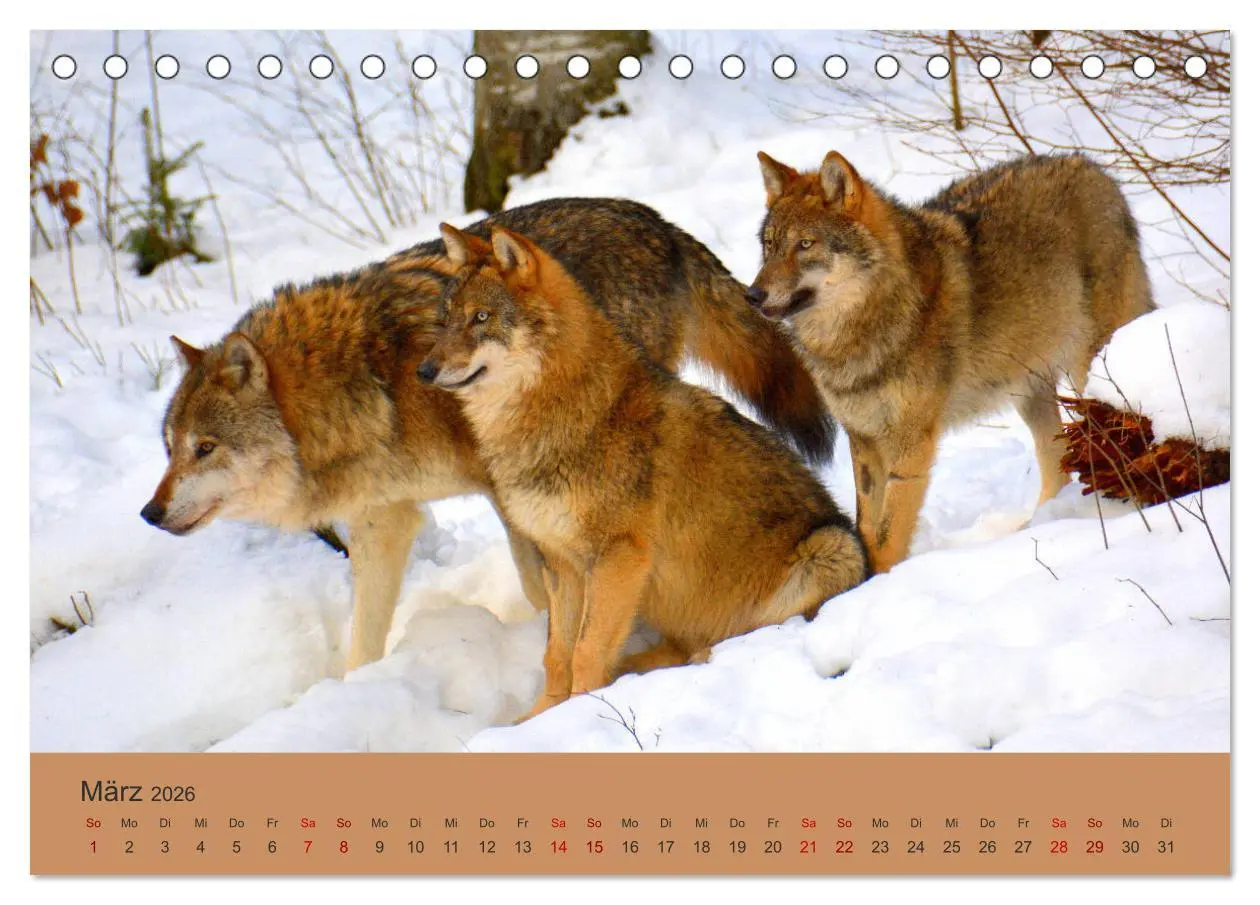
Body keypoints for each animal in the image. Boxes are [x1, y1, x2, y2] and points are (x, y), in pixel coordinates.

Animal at [141, 198, 834, 673]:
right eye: (170, 447)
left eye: (205, 447)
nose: (149, 512)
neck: (369, 383)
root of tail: (654, 220)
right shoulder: (382, 521)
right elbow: (363, 639)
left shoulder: (503, 490)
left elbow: (539, 584)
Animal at [419, 225, 868, 720]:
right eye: (445, 319)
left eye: (481, 317)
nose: (424, 369)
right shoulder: (561, 564)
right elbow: (556, 654)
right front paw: (539, 718)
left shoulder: (619, 557)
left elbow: (585, 653)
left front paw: (579, 715)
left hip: (832, 547)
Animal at [748, 151, 1154, 573]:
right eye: (769, 246)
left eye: (805, 244)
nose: (752, 295)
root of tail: (1095, 169)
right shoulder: (864, 442)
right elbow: (867, 530)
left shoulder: (911, 447)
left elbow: (888, 538)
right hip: (1030, 394)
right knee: (1056, 469)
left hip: (1089, 369)